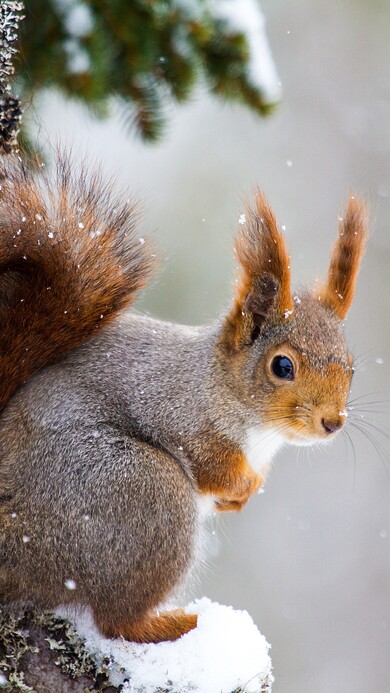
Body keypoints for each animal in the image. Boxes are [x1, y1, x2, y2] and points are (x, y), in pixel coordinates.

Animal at [0, 154, 368, 640]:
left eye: (352, 366)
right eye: (283, 366)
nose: (333, 422)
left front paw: (244, 495)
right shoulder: (181, 413)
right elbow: (212, 464)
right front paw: (242, 485)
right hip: (142, 492)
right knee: (116, 619)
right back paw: (177, 623)